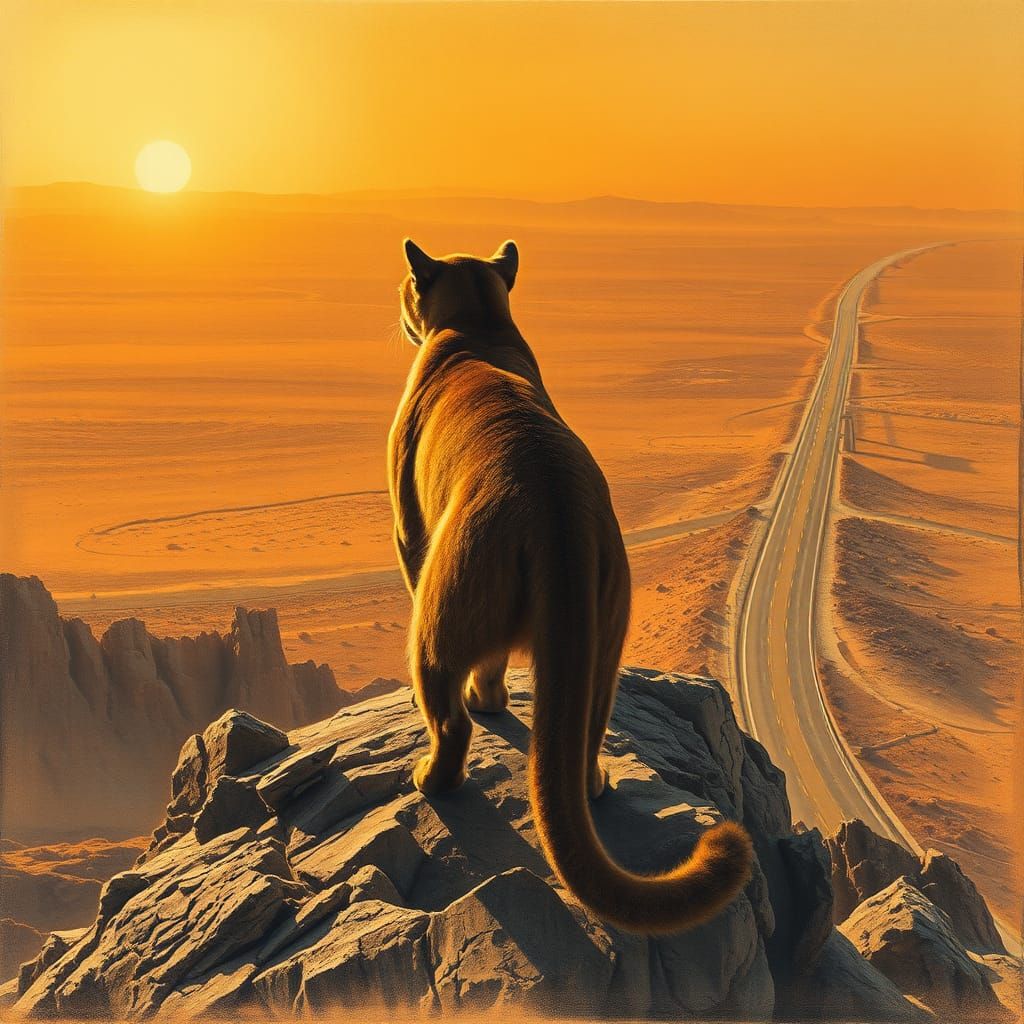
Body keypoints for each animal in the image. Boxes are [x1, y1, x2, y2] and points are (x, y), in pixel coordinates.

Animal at [387, 238, 752, 933]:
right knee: (583, 736)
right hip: (604, 643)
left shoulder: (408, 533)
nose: (397, 302)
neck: (476, 328)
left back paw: (432, 776)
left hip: (437, 618)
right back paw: (595, 780)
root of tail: (551, 504)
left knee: (451, 721)